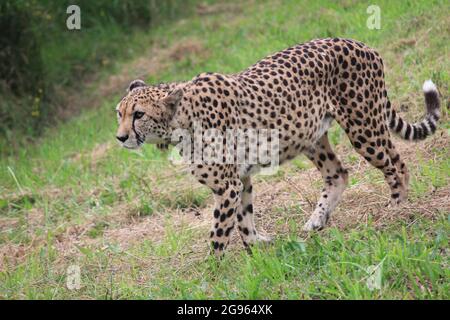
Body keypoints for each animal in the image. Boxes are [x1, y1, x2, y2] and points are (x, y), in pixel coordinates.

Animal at [115, 38, 440, 255]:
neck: (180, 121)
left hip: (363, 126)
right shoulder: (240, 179)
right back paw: (317, 221)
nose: (120, 137)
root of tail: (357, 42)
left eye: (139, 115)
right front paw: (257, 250)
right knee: (340, 173)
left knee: (396, 166)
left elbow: (219, 232)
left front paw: (212, 271)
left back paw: (396, 211)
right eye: (119, 113)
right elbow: (244, 219)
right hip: (311, 136)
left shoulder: (227, 185)